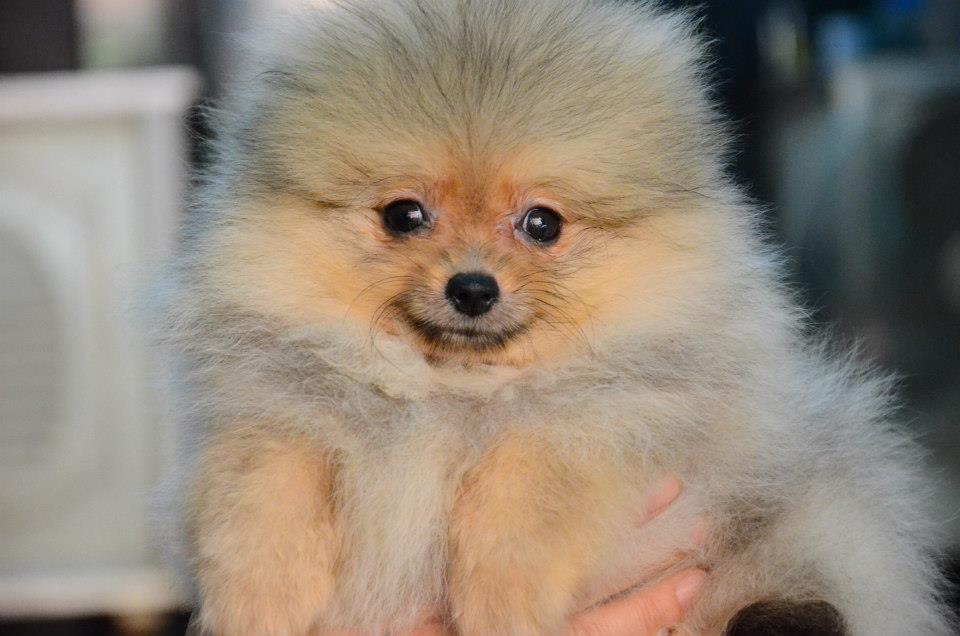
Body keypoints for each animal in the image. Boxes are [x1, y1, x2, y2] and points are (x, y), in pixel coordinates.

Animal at [163, 0, 954, 633]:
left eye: (542, 224)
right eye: (403, 215)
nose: (472, 288)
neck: (450, 397)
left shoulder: (618, 419)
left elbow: (526, 475)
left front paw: (500, 602)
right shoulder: (275, 407)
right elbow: (258, 487)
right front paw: (255, 602)